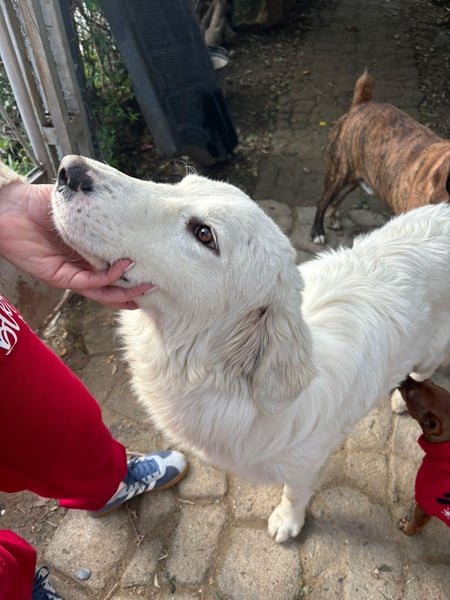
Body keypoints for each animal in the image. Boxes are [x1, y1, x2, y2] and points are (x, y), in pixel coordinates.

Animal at [311, 70, 450, 245]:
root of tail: (361, 105)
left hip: (354, 178)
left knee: (337, 199)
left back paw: (332, 219)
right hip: (338, 173)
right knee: (323, 200)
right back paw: (317, 231)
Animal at [396, 376, 450, 534]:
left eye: (409, 391)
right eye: (428, 381)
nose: (406, 375)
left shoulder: (424, 505)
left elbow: (417, 524)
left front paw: (408, 528)